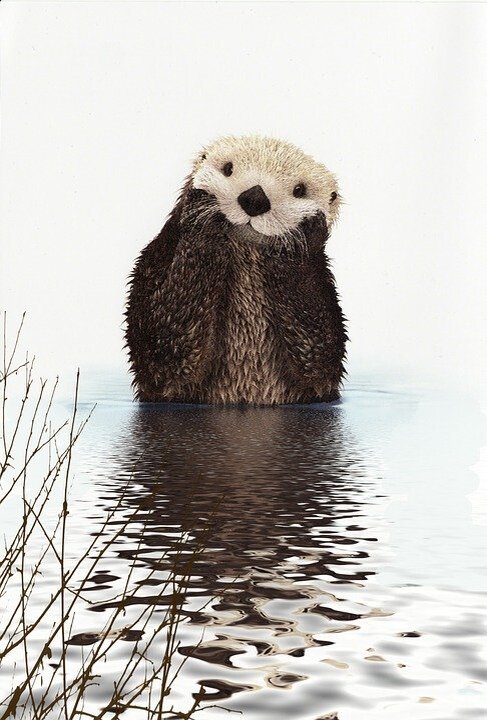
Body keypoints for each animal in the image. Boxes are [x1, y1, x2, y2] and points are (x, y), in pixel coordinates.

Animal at [125, 135, 347, 405]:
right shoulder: (155, 261)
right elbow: (163, 346)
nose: (255, 198)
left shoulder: (323, 290)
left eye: (299, 190)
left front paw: (302, 234)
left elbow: (320, 355)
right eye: (228, 168)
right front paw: (203, 212)